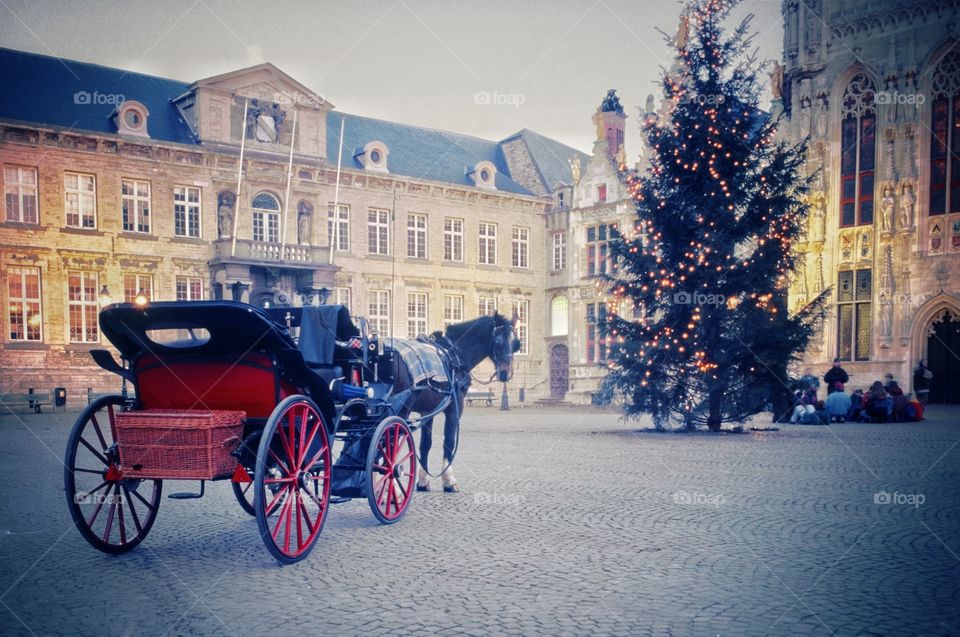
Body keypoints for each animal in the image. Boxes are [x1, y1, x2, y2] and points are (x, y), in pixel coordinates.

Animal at [386, 314, 516, 492]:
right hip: (401, 411)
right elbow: (448, 441)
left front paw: (422, 482)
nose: (505, 373)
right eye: (498, 342)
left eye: (516, 343)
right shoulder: (455, 407)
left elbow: (425, 444)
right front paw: (449, 481)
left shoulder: (428, 410)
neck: (454, 353)